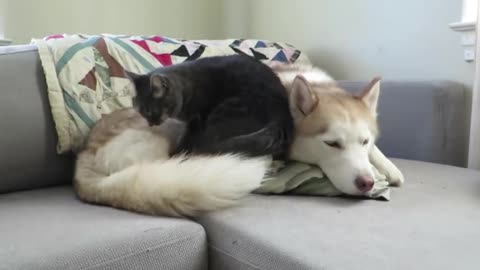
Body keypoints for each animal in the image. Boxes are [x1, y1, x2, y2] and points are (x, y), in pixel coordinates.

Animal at [270, 62, 404, 195]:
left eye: (365, 141)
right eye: (331, 143)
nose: (367, 183)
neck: (316, 84)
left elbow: (374, 149)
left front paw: (389, 168)